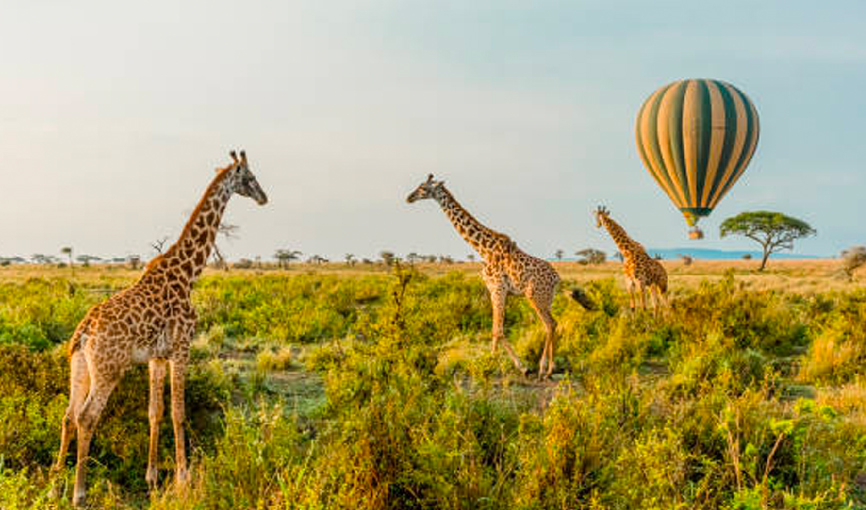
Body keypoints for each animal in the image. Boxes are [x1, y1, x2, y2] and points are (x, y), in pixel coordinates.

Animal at [53, 149, 266, 504]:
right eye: (249, 177)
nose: (264, 197)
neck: (188, 275)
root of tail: (84, 333)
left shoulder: (156, 356)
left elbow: (155, 411)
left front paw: (152, 477)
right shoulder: (182, 348)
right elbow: (179, 412)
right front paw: (184, 478)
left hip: (80, 365)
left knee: (69, 416)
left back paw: (55, 485)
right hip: (109, 369)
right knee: (86, 417)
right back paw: (78, 493)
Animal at [404, 175, 588, 378]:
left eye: (423, 188)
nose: (409, 198)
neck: (483, 249)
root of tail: (557, 279)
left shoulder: (497, 288)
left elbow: (498, 330)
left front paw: (510, 365)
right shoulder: (499, 291)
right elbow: (495, 328)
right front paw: (494, 360)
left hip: (535, 297)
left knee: (550, 324)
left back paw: (543, 369)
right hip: (547, 299)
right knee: (554, 324)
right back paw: (549, 369)